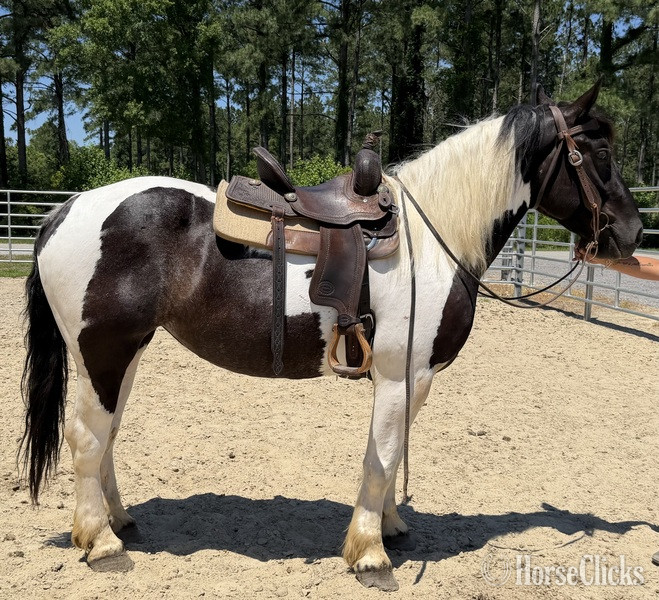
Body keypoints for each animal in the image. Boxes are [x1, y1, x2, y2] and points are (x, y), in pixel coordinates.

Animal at [19, 82, 642, 591]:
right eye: (600, 153)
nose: (633, 233)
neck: (431, 239)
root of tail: (66, 210)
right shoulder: (396, 374)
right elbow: (383, 456)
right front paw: (369, 554)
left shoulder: (414, 380)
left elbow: (394, 452)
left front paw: (391, 526)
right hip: (103, 352)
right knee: (86, 438)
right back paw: (101, 542)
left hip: (126, 354)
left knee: (107, 436)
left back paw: (120, 521)